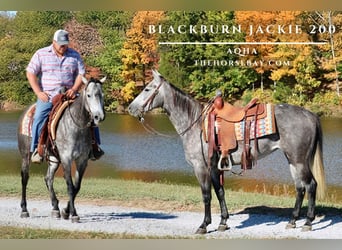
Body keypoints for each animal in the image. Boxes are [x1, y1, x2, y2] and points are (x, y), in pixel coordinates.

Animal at [17, 76, 105, 223]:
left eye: (102, 95)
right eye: (88, 95)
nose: (99, 116)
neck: (77, 126)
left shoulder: (82, 160)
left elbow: (76, 186)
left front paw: (65, 211)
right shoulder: (66, 158)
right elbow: (69, 186)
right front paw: (73, 214)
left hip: (54, 158)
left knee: (48, 178)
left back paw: (55, 208)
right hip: (25, 155)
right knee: (25, 178)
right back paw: (24, 210)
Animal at [130, 70, 328, 234]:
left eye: (147, 89)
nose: (130, 108)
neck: (195, 123)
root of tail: (310, 114)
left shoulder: (201, 167)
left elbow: (207, 195)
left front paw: (204, 225)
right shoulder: (215, 168)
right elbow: (220, 192)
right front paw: (223, 222)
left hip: (299, 160)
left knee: (311, 185)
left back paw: (308, 222)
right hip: (292, 160)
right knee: (300, 188)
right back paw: (292, 221)